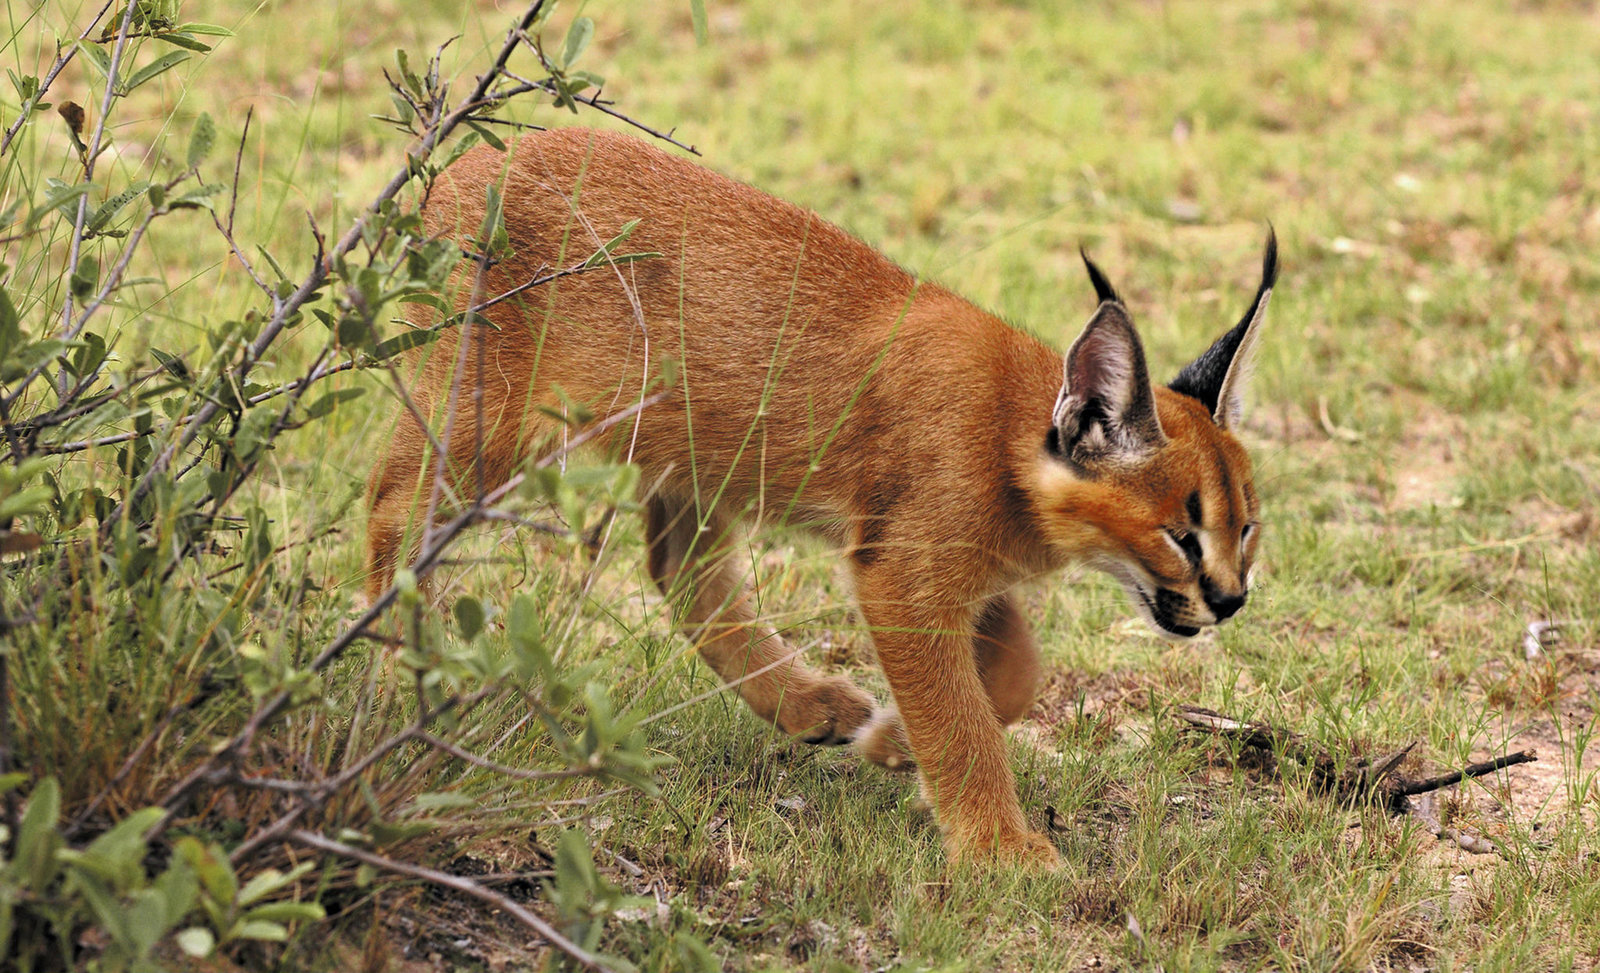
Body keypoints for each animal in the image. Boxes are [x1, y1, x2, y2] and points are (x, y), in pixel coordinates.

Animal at [365, 127, 1275, 868]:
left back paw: (805, 702)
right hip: (489, 419)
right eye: (1182, 534)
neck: (1012, 430)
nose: (1230, 600)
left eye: (1248, 528)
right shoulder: (901, 574)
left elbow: (1013, 672)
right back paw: (403, 676)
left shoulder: (940, 567)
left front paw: (893, 745)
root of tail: (474, 158)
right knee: (391, 511)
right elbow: (962, 712)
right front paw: (1000, 850)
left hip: (698, 449)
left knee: (681, 570)